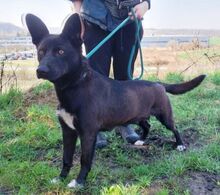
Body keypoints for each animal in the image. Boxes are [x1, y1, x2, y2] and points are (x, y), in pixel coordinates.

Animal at [25, 13, 206, 187]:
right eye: (41, 52)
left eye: (61, 52)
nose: (41, 70)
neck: (74, 87)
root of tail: (158, 83)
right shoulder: (68, 131)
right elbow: (66, 158)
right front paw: (61, 178)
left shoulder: (87, 133)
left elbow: (84, 160)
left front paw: (79, 182)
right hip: (137, 115)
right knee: (147, 125)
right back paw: (140, 141)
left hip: (164, 115)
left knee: (174, 128)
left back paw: (180, 144)